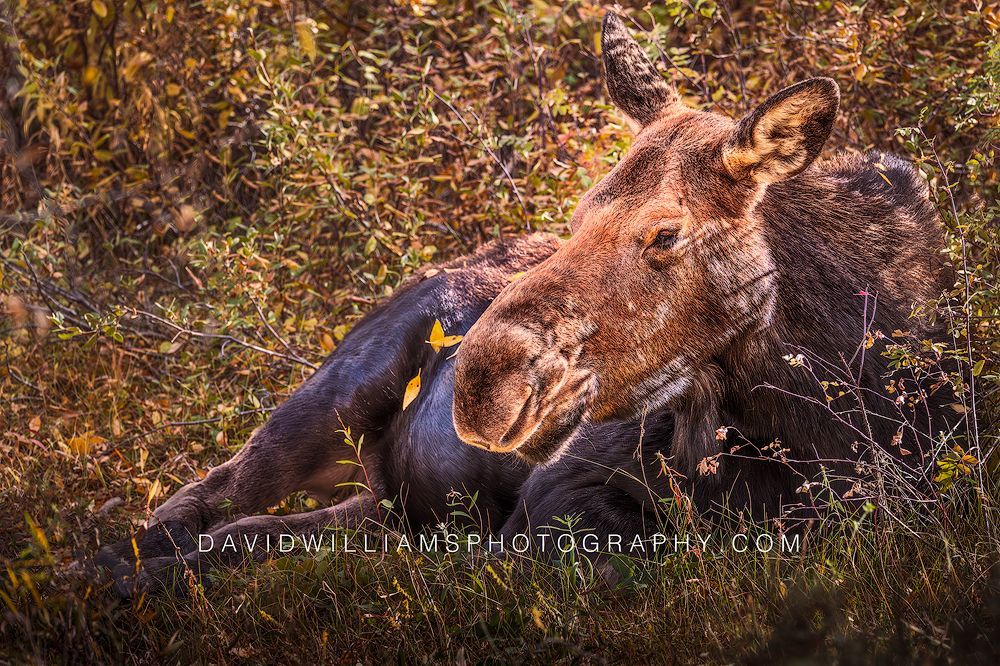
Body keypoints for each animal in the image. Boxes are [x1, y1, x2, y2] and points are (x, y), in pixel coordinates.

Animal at [95, 11, 953, 595]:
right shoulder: (556, 500)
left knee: (249, 532)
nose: (482, 384)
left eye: (664, 233)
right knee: (192, 508)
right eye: (577, 214)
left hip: (379, 496)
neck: (826, 422)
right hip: (328, 403)